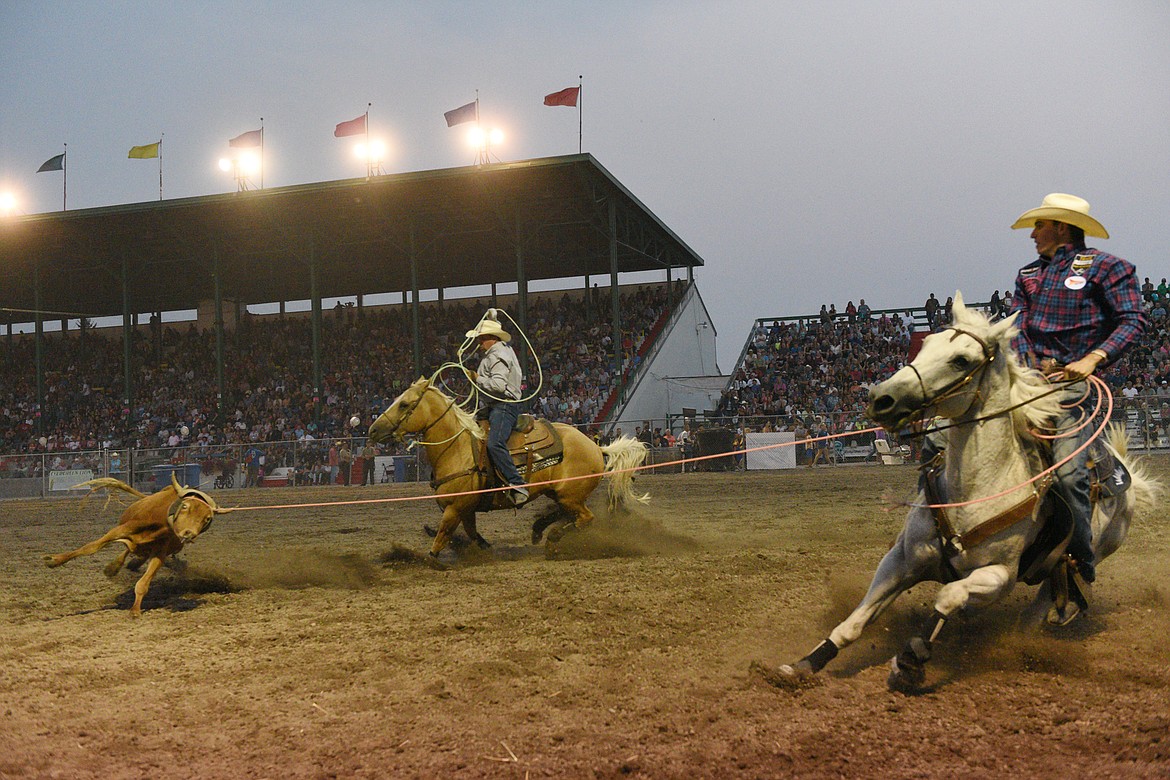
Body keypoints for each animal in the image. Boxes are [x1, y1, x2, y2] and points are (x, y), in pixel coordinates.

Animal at [367, 376, 650, 554]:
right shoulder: (466, 510)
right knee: (568, 514)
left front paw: (428, 559)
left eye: (404, 404)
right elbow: (470, 534)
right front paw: (484, 550)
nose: (372, 430)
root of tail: (596, 446)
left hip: (570, 494)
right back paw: (538, 530)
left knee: (584, 519)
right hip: (561, 493)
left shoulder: (455, 508)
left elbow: (441, 538)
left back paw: (552, 538)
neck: (456, 448)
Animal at [767, 294, 1160, 696]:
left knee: (1040, 607)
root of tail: (1122, 470)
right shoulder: (901, 559)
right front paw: (802, 665)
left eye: (961, 360)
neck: (974, 489)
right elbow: (854, 623)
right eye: (925, 343)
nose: (882, 398)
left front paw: (910, 662)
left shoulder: (999, 576)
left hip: (1091, 550)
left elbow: (948, 596)